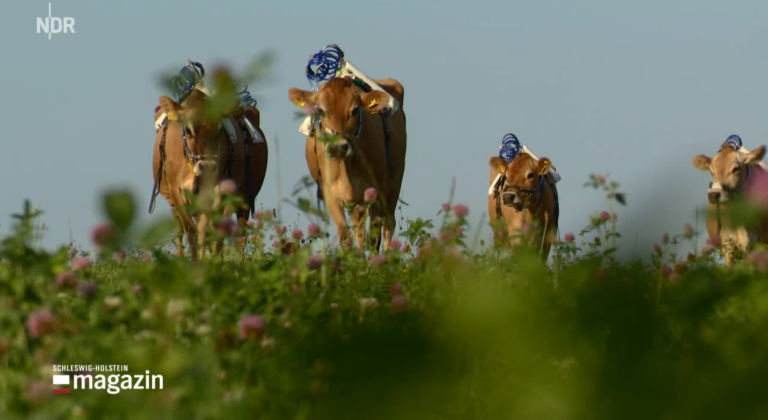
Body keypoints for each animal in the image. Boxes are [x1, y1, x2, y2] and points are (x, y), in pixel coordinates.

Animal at [152, 90, 268, 258]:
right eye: (188, 130)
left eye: (219, 130)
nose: (207, 166)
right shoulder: (176, 190)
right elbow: (191, 231)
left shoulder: (217, 191)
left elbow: (207, 231)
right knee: (180, 231)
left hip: (244, 198)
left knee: (238, 234)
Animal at [288, 76, 408, 253]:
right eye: (321, 110)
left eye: (355, 110)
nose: (338, 146)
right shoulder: (331, 195)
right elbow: (346, 237)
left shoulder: (377, 193)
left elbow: (374, 238)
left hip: (395, 183)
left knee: (388, 224)